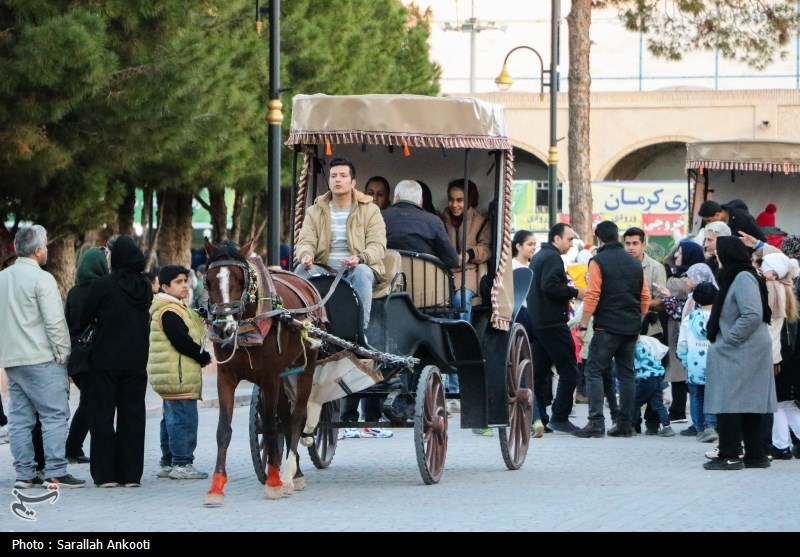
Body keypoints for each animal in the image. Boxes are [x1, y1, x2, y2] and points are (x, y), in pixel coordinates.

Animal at [202, 239, 326, 504]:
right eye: (209, 280)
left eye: (241, 279)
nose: (224, 328)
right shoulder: (226, 378)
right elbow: (223, 430)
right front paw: (216, 487)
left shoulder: (269, 378)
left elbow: (269, 428)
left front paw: (275, 482)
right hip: (284, 375)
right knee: (286, 419)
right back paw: (296, 473)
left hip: (306, 366)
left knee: (297, 417)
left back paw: (288, 475)